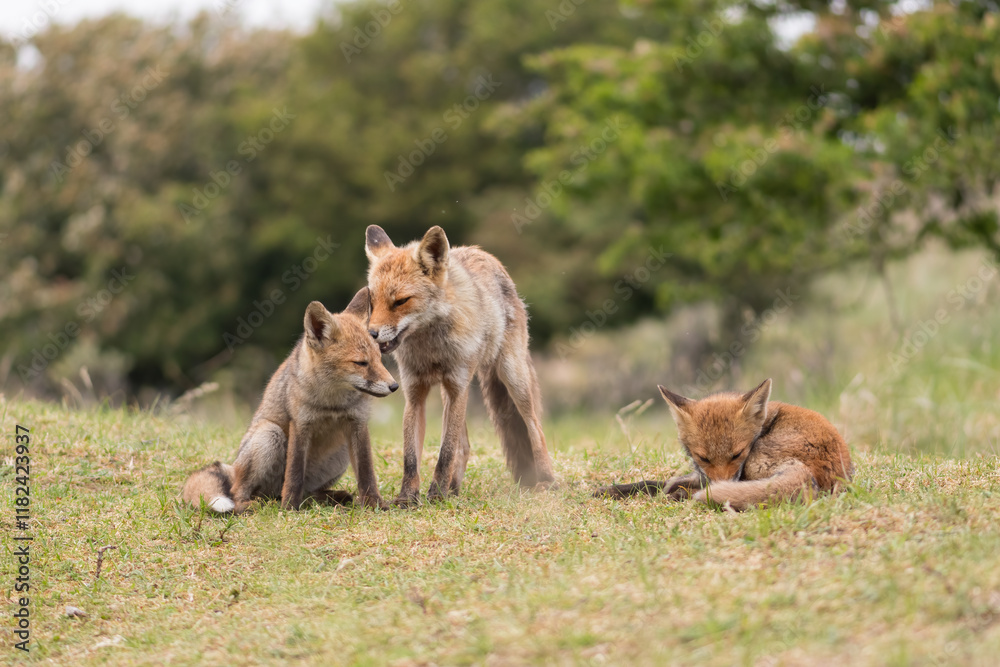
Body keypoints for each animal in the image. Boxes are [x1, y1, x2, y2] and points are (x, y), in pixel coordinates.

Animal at [181, 288, 398, 514]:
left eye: (379, 359)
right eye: (361, 363)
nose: (394, 386)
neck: (332, 402)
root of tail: (234, 466)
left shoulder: (358, 423)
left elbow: (366, 473)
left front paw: (374, 504)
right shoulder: (301, 424)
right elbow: (294, 474)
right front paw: (290, 509)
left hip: (340, 454)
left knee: (307, 492)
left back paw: (328, 498)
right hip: (269, 435)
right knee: (238, 492)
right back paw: (254, 505)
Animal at [364, 224, 556, 506]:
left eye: (400, 301)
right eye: (371, 302)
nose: (371, 334)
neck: (431, 348)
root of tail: (482, 253)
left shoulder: (458, 386)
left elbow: (445, 452)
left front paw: (435, 494)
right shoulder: (415, 393)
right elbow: (412, 457)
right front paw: (408, 498)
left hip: (512, 377)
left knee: (535, 428)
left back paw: (547, 480)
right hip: (451, 393)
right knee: (464, 447)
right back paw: (453, 488)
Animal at [594, 378, 854, 510]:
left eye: (737, 454)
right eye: (703, 457)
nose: (721, 483)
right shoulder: (702, 474)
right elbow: (652, 483)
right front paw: (611, 490)